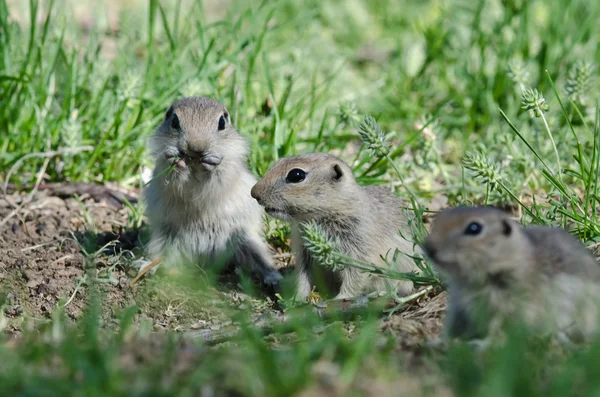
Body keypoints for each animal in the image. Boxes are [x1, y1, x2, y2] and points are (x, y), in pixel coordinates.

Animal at [142, 96, 282, 288]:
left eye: (222, 122)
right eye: (175, 121)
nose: (196, 147)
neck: (194, 163)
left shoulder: (230, 167)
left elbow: (218, 177)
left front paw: (212, 163)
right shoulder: (161, 169)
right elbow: (171, 176)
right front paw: (175, 160)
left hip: (247, 240)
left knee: (261, 261)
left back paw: (274, 278)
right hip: (164, 239)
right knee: (162, 256)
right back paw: (149, 266)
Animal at [251, 152, 420, 300]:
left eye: (296, 175)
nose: (254, 193)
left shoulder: (359, 248)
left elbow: (356, 276)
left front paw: (339, 299)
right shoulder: (304, 252)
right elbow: (303, 277)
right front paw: (296, 300)